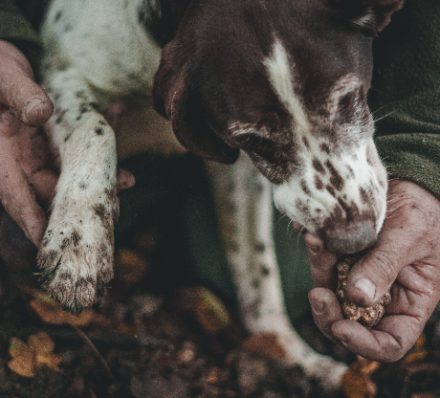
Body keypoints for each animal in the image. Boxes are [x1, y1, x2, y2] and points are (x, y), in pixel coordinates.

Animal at [39, 0, 404, 388]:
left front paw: (289, 353)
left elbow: (257, 271)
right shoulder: (62, 74)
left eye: (348, 98)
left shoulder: (240, 173)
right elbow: (94, 127)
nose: (354, 239)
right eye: (254, 139)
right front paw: (79, 240)